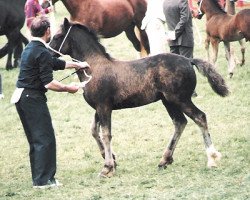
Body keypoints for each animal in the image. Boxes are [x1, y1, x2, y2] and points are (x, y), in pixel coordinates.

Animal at [48, 18, 229, 177]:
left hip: (180, 99)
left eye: (57, 36)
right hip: (168, 101)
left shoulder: (104, 106)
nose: (48, 53)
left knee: (200, 117)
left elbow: (106, 134)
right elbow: (94, 130)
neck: (94, 68)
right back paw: (164, 160)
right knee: (180, 122)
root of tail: (189, 60)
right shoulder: (99, 108)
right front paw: (112, 159)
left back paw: (212, 158)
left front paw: (107, 168)